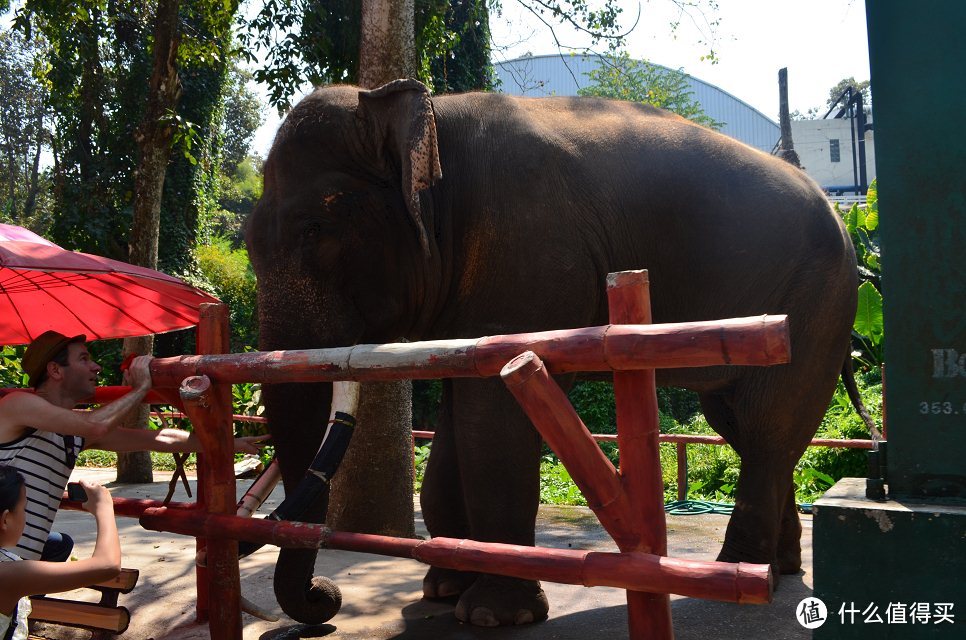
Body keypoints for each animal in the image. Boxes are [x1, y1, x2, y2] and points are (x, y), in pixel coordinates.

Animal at [248, 79, 864, 624]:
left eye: (315, 228)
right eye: (249, 242)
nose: (327, 597)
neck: (432, 118)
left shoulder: (528, 252)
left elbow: (493, 416)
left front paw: (494, 615)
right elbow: (457, 417)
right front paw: (445, 589)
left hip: (818, 303)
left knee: (766, 426)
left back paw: (738, 579)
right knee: (744, 426)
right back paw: (779, 569)